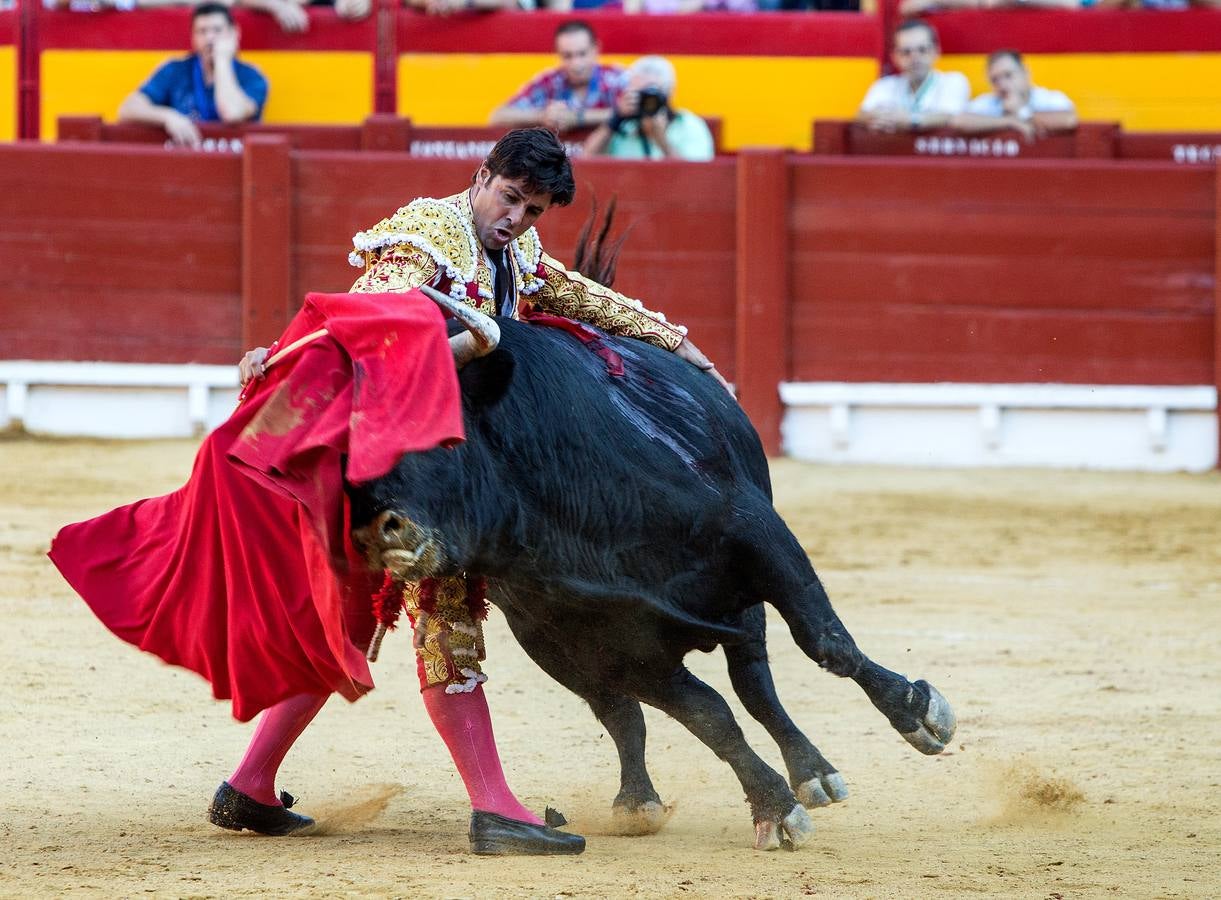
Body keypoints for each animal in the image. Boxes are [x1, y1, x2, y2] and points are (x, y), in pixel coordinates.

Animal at [344, 319, 952, 854]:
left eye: (443, 437)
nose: (383, 528)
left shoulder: (756, 532)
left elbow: (826, 643)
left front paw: (918, 711)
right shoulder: (603, 640)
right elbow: (708, 717)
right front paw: (775, 809)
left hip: (742, 606)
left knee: (756, 682)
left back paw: (816, 772)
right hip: (556, 648)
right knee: (624, 712)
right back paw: (638, 801)